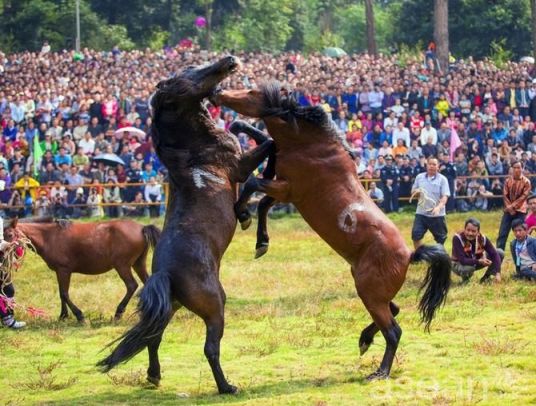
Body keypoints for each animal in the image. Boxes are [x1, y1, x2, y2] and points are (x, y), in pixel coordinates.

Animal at [3, 217, 159, 322]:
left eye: (10, 235)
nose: (3, 253)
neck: (50, 237)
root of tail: (142, 227)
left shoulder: (64, 270)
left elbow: (64, 294)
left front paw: (79, 316)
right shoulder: (59, 271)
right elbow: (61, 294)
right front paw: (63, 315)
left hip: (122, 266)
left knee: (132, 285)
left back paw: (118, 313)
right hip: (138, 264)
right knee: (147, 282)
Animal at [96, 56, 272, 394]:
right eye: (185, 77)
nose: (229, 61)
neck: (193, 149)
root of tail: (165, 274)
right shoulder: (240, 165)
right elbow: (265, 149)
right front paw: (245, 217)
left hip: (172, 307)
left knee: (153, 338)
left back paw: (154, 375)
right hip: (215, 306)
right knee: (210, 348)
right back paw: (227, 386)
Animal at [214, 82, 452, 380]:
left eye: (251, 93)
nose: (218, 93)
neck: (309, 144)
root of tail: (410, 255)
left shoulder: (287, 188)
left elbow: (253, 185)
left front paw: (243, 215)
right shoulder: (283, 189)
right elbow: (264, 201)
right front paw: (261, 242)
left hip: (369, 293)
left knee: (393, 331)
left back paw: (380, 371)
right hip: (373, 292)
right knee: (394, 310)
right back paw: (364, 340)